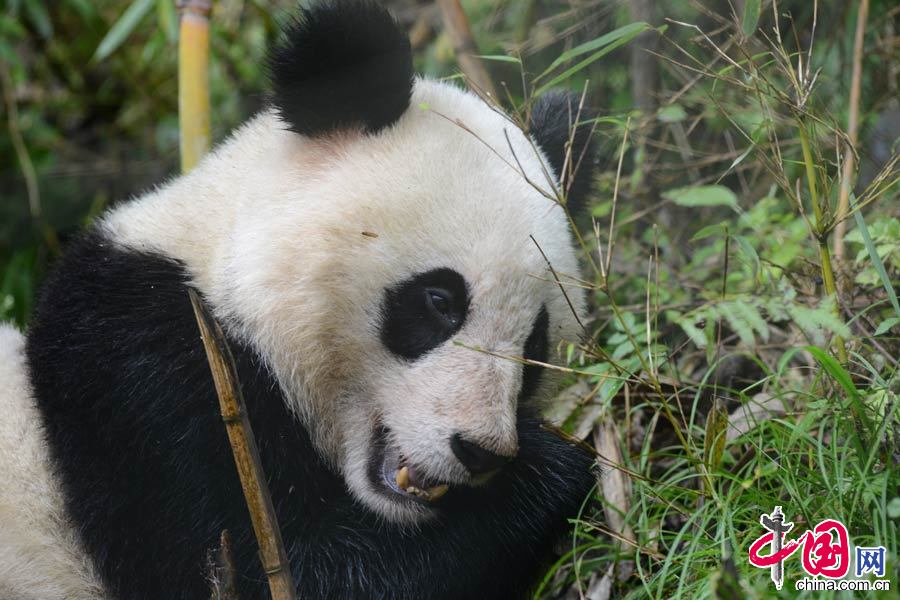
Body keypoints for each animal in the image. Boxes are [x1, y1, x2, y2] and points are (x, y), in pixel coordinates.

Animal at [3, 2, 600, 596]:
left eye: (537, 343)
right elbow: (260, 566)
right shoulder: (141, 376)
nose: (478, 452)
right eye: (439, 300)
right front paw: (554, 469)